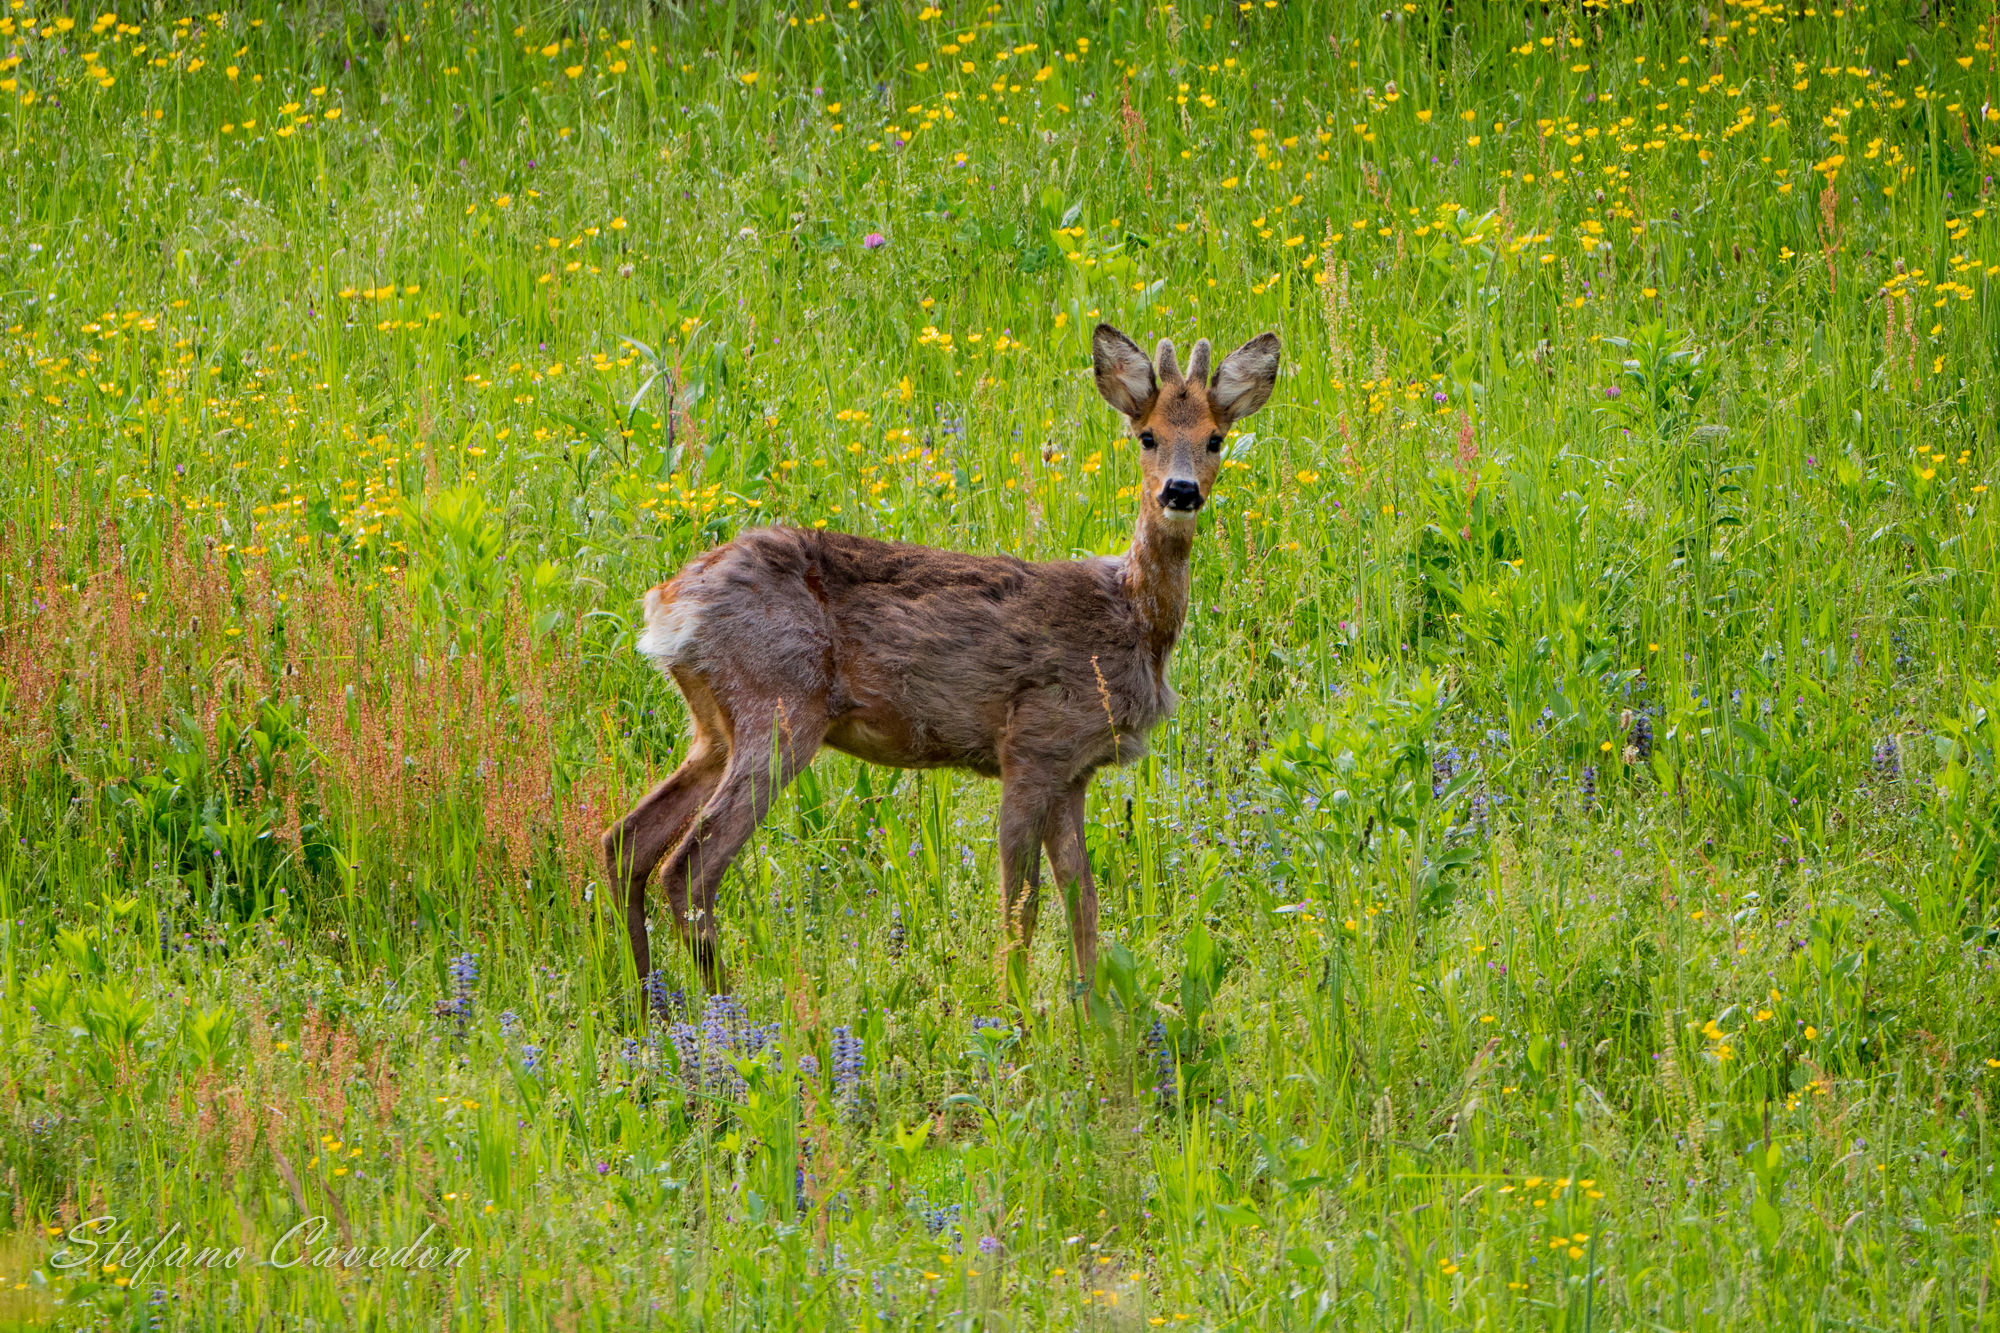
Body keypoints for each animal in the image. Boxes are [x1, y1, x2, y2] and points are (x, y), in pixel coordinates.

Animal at [602, 324, 1281, 1007]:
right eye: (1147, 435)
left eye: (1215, 438)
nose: (1181, 491)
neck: (1133, 620)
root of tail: (666, 607)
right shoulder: (1031, 746)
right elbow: (1021, 902)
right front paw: (1015, 1015)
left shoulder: (1074, 770)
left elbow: (1081, 897)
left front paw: (1091, 1011)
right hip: (779, 707)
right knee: (690, 866)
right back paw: (727, 1010)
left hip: (714, 727)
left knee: (626, 840)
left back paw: (647, 1004)